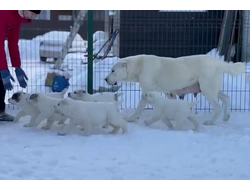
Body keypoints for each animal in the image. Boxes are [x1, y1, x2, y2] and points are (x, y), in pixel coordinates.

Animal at [104, 53, 245, 125]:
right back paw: (226, 116)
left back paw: (210, 121)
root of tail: (217, 61)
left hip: (208, 90)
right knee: (226, 97)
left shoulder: (146, 91)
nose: (105, 79)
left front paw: (131, 119)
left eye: (113, 71)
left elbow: (139, 108)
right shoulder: (169, 93)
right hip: (210, 88)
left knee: (218, 107)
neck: (139, 66)